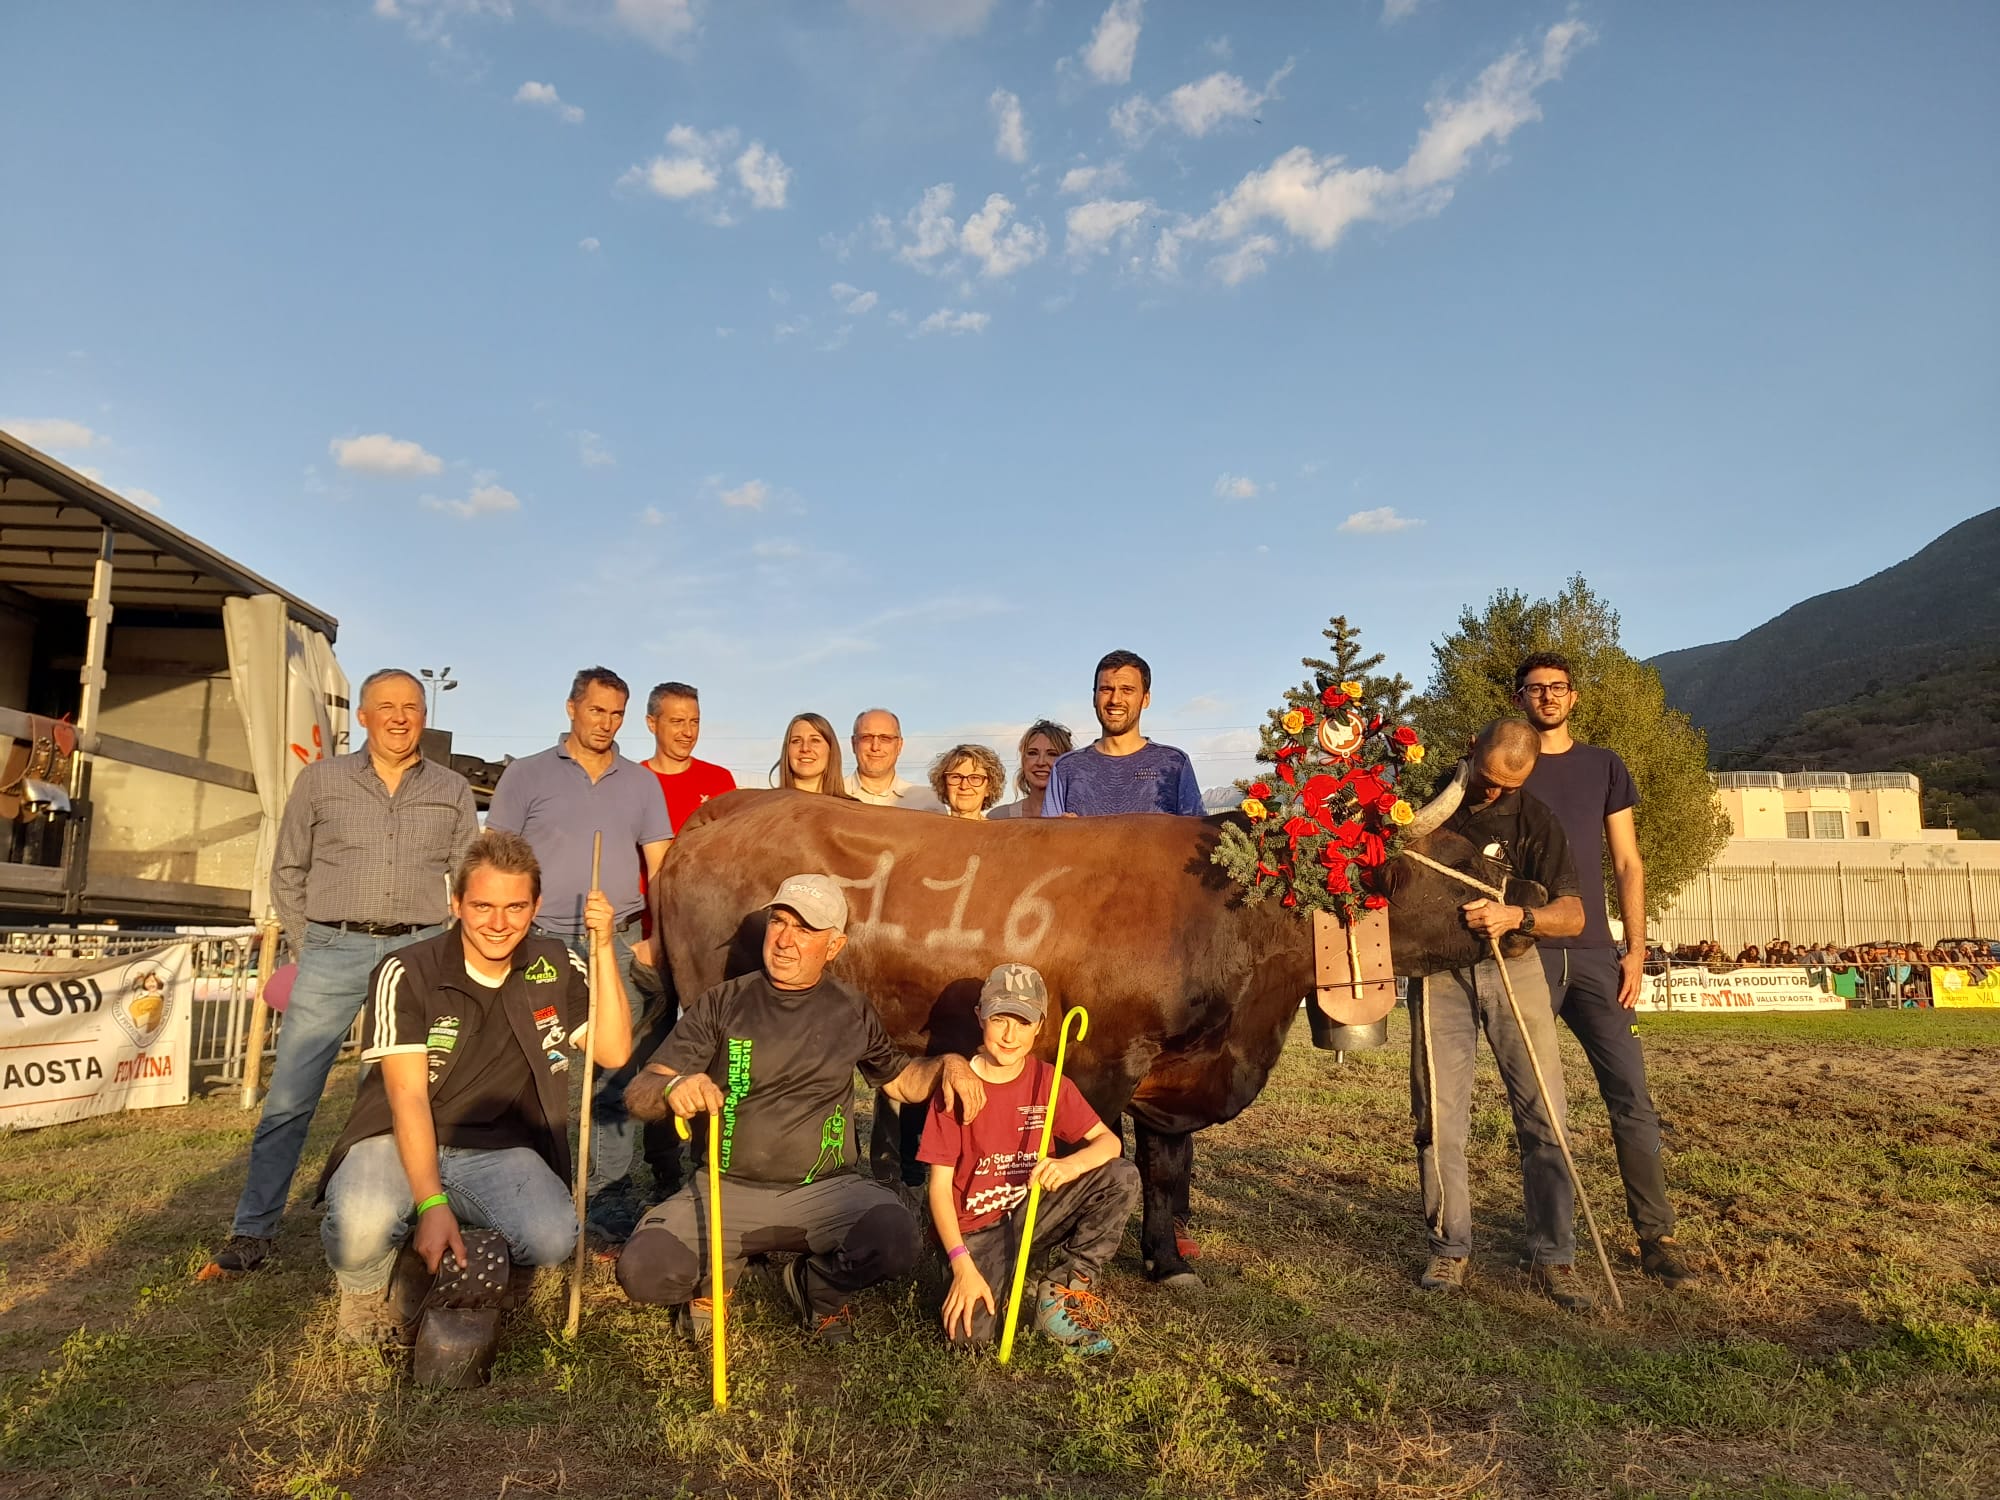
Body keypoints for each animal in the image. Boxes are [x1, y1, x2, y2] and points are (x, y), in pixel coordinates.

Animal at [648, 768, 1520, 1288]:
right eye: (1450, 857)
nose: (1527, 903)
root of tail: (731, 809)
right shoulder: (1102, 1058)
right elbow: (1086, 1161)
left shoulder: (1177, 1073)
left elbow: (1166, 1171)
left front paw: (1167, 1262)